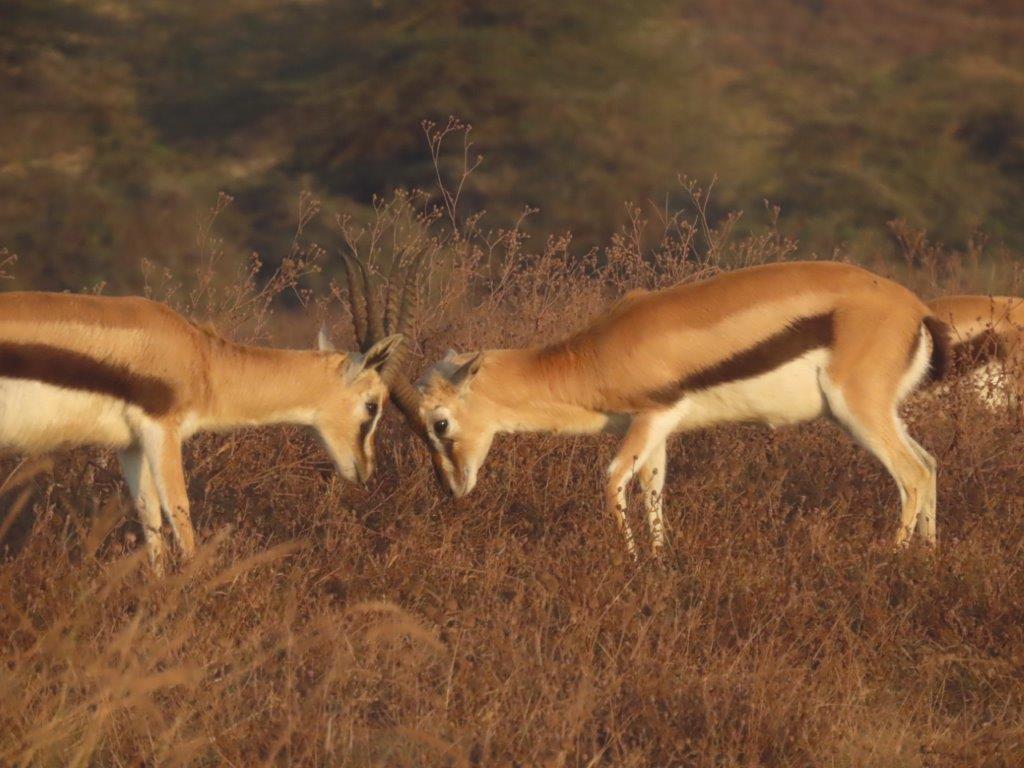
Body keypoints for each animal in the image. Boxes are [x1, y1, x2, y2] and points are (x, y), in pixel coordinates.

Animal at [0, 265, 417, 574]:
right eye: (372, 406)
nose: (365, 470)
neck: (202, 360)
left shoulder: (132, 445)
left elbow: (151, 526)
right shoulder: (162, 432)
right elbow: (181, 522)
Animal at [410, 261, 952, 555]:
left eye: (440, 423)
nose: (452, 489)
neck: (596, 354)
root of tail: (916, 309)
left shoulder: (653, 415)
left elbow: (611, 480)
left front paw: (629, 567)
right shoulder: (656, 430)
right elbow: (654, 492)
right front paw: (660, 563)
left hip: (857, 411)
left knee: (910, 473)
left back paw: (888, 560)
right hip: (876, 414)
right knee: (929, 463)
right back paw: (928, 560)